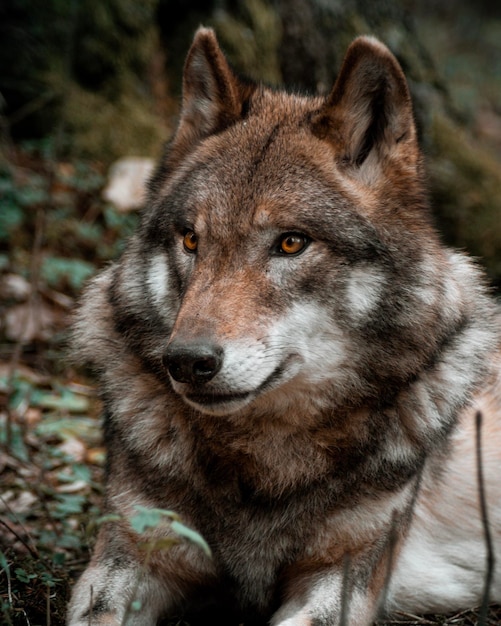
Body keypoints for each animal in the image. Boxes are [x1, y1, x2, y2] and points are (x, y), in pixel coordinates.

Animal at [68, 26, 500, 620]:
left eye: (291, 243)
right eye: (191, 239)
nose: (187, 361)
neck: (263, 458)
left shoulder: (344, 575)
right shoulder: (129, 551)